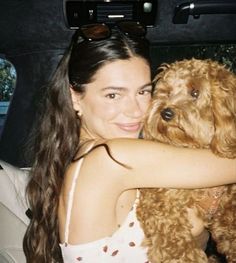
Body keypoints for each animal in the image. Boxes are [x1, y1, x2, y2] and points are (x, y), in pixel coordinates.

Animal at [136, 58, 236, 262]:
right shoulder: (159, 200)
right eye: (167, 92)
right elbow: (176, 245)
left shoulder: (227, 207)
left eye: (195, 92)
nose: (165, 113)